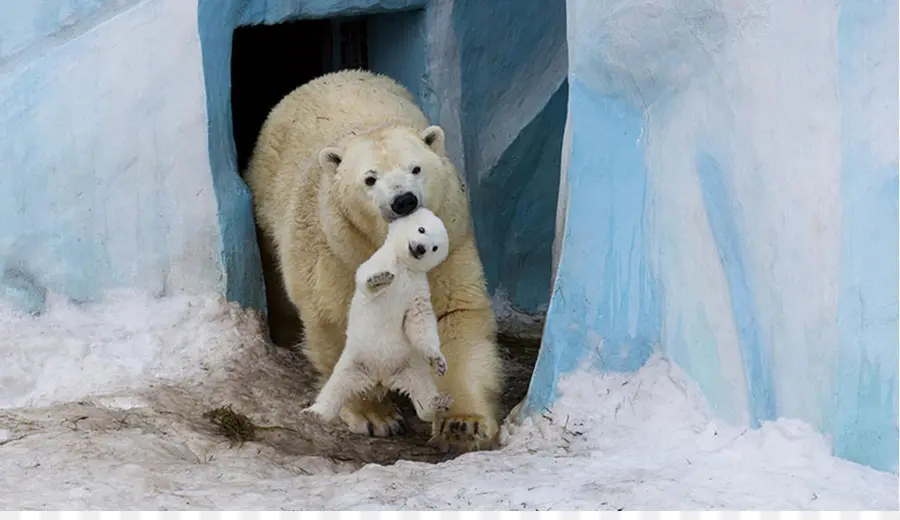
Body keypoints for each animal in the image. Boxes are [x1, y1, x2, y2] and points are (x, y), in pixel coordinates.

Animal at [243, 68, 502, 450]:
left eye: (416, 168)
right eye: (369, 179)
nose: (404, 200)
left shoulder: (451, 242)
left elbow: (452, 313)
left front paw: (462, 423)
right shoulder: (337, 251)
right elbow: (337, 320)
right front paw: (375, 416)